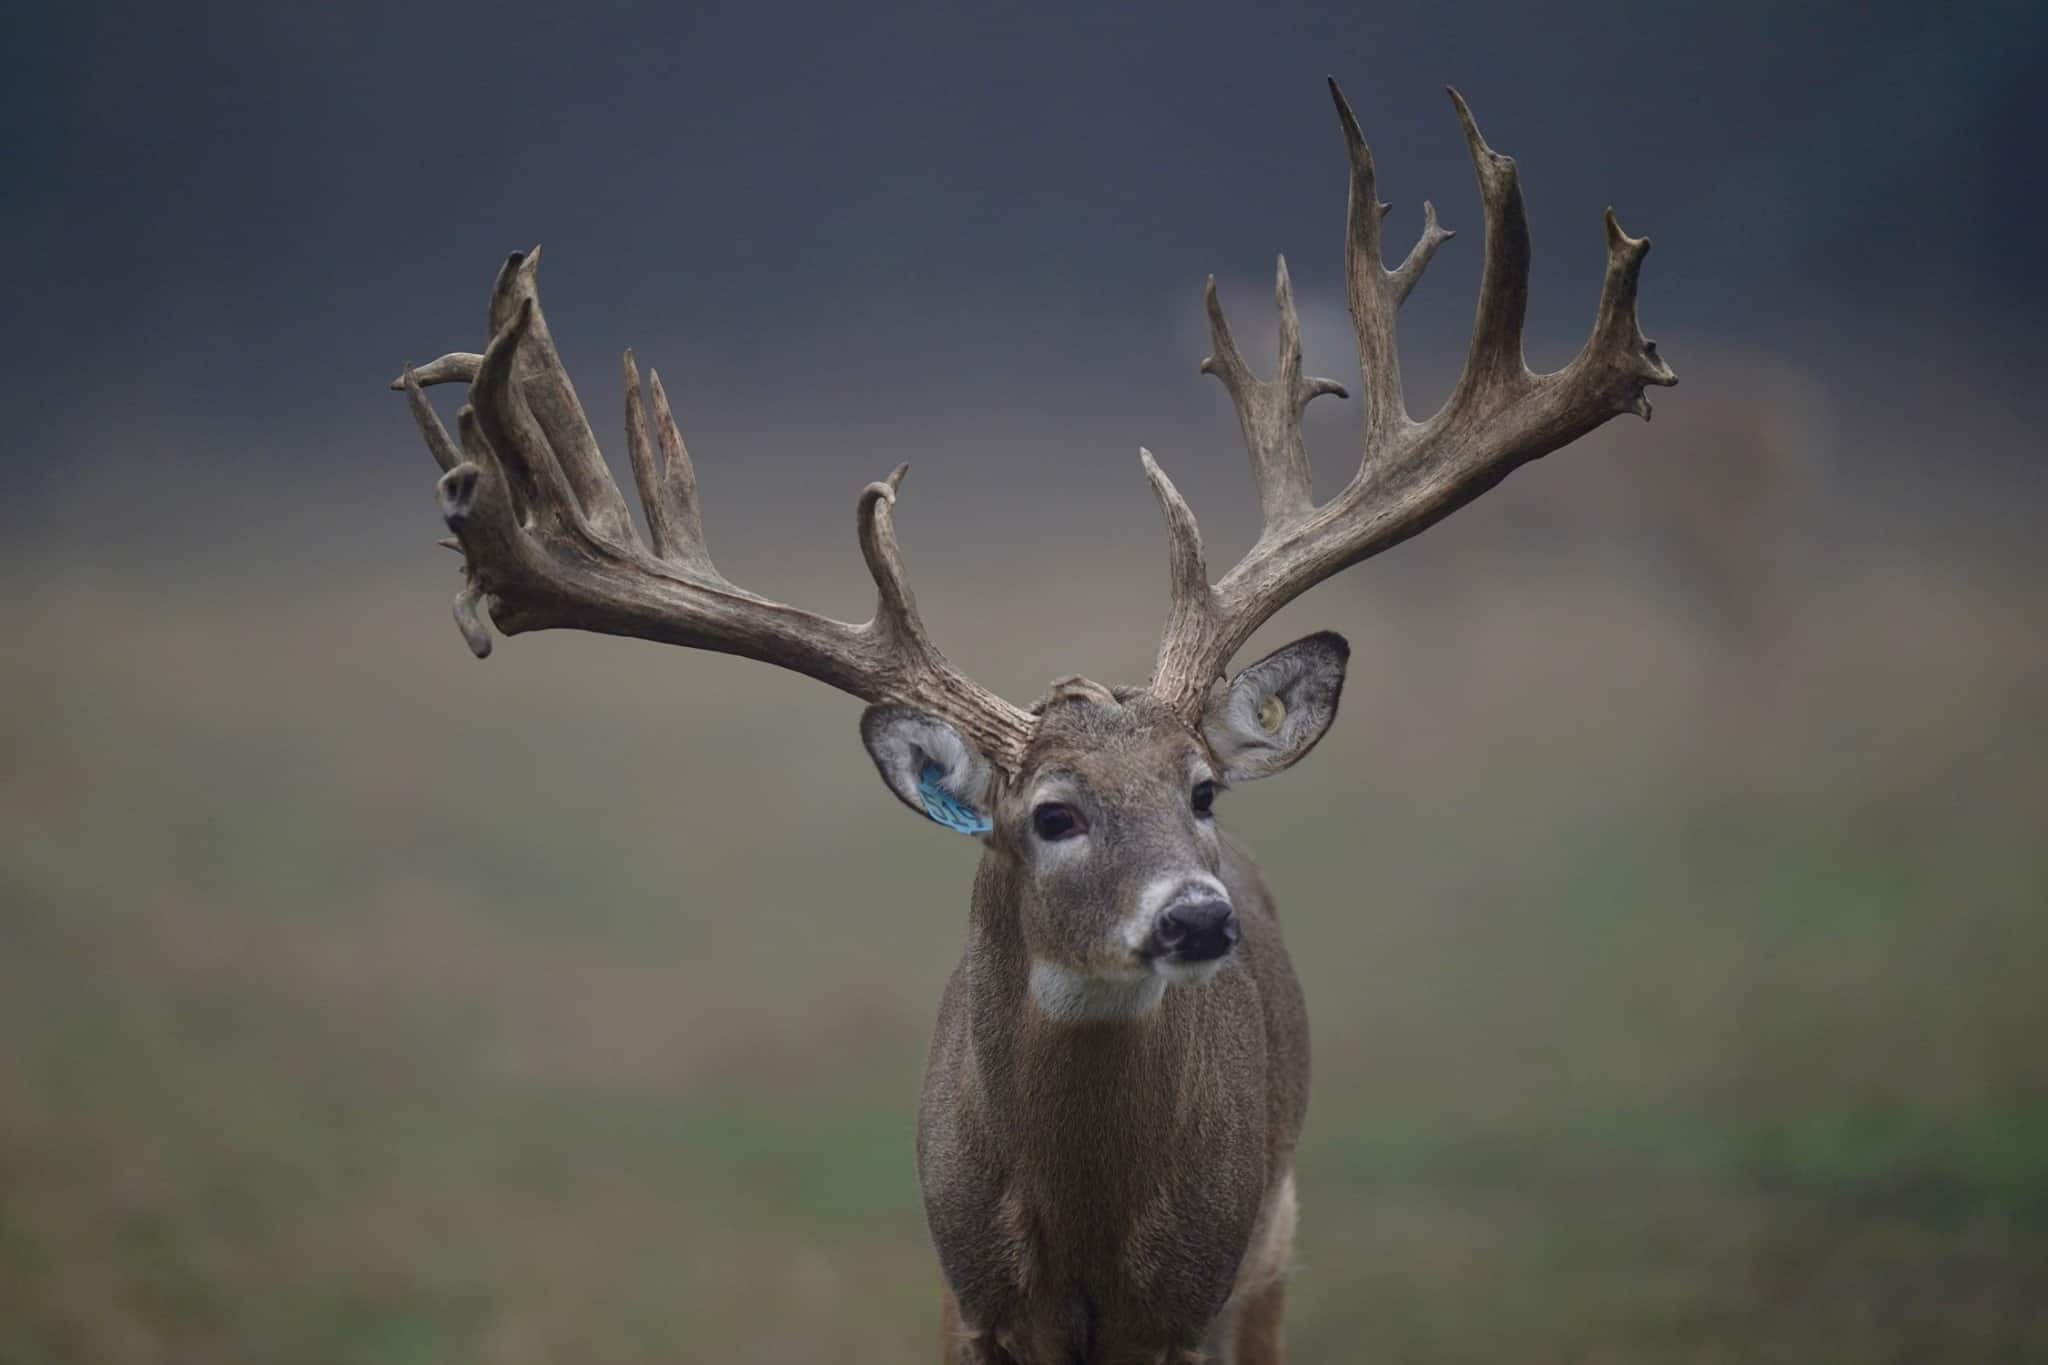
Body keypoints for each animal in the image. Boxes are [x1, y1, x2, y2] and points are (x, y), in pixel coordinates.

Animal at [393, 79, 1674, 1365]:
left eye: (1201, 791)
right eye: (1051, 816)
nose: (1197, 915)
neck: (1084, 1251)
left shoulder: (1194, 1302)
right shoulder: (968, 1301)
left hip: (1270, 1256)